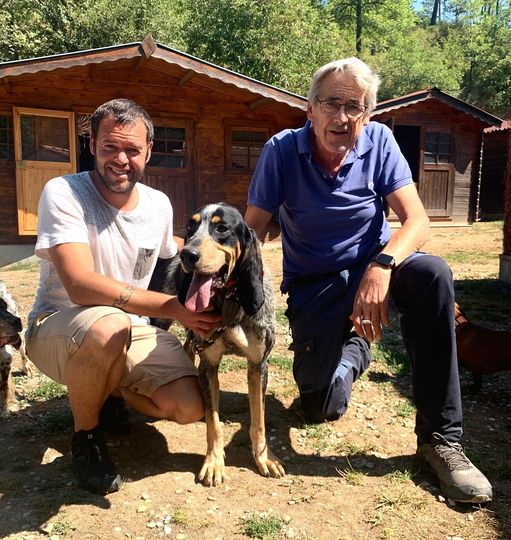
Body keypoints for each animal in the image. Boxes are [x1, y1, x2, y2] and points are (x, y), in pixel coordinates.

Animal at [148, 201, 286, 486]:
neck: (230, 299)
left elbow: (259, 419)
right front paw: (213, 462)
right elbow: (214, 423)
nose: (187, 255)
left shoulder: (258, 365)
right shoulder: (209, 364)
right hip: (161, 321)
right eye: (191, 227)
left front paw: (264, 458)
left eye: (222, 228)